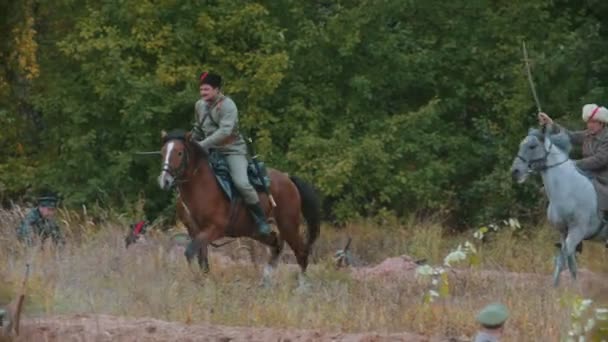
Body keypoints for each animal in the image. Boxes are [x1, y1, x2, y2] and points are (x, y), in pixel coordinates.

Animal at [157, 130, 320, 284]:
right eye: (163, 152)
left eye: (179, 152)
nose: (164, 181)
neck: (201, 185)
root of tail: (288, 179)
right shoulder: (195, 231)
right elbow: (202, 259)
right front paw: (204, 282)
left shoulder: (214, 229)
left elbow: (190, 252)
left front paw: (199, 280)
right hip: (256, 232)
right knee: (276, 246)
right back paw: (266, 281)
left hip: (288, 226)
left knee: (301, 253)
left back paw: (301, 287)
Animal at [510, 127, 604, 286]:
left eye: (532, 146)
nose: (515, 172)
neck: (568, 189)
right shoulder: (563, 232)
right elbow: (568, 263)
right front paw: (566, 288)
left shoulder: (576, 232)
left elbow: (563, 259)